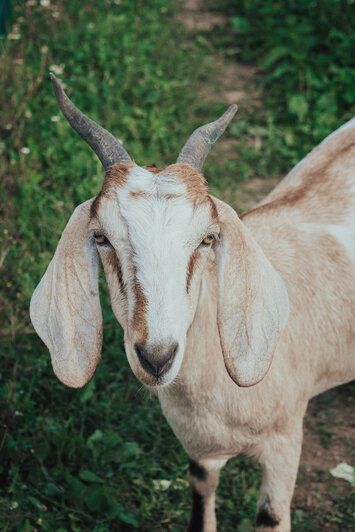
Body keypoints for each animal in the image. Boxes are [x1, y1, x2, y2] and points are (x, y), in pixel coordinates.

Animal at [31, 72, 355, 528]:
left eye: (207, 238)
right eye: (101, 237)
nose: (157, 357)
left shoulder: (285, 441)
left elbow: (270, 515)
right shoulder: (201, 453)